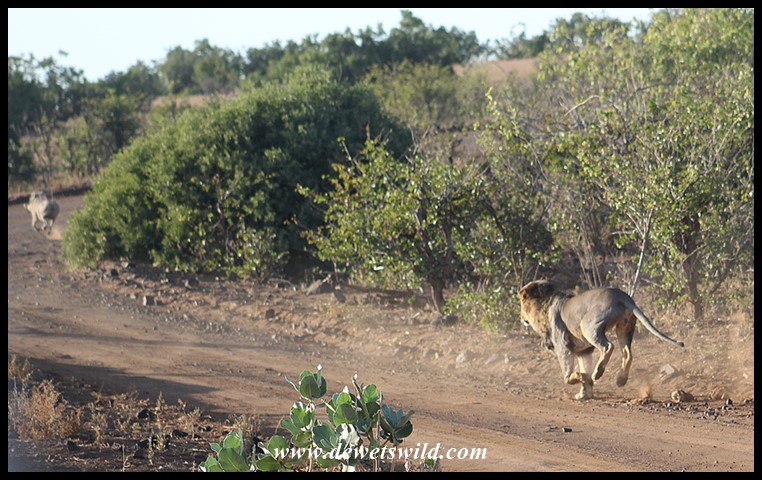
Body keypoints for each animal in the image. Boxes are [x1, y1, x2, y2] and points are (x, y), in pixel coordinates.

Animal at [518, 280, 684, 400]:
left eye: (521, 303)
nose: (521, 318)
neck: (545, 306)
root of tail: (622, 296)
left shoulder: (563, 347)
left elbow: (568, 377)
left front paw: (586, 379)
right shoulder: (583, 352)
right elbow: (583, 370)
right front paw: (583, 394)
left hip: (588, 325)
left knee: (608, 346)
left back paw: (598, 372)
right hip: (625, 327)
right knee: (627, 353)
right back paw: (620, 379)